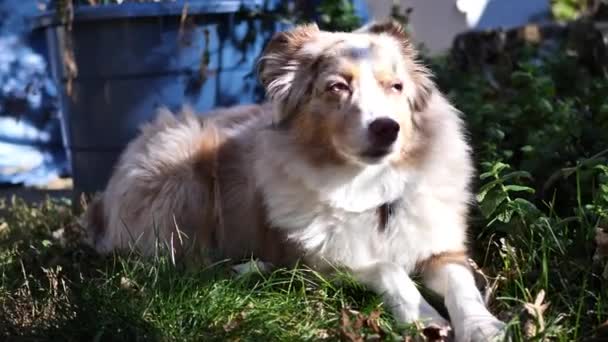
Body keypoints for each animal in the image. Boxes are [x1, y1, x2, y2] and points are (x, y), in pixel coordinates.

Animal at [83, 21, 506, 340]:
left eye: (396, 87)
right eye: (337, 86)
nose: (388, 128)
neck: (370, 187)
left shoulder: (443, 250)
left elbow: (463, 287)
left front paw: (484, 327)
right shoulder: (327, 262)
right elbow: (388, 269)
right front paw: (426, 319)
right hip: (182, 163)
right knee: (187, 264)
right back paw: (251, 269)